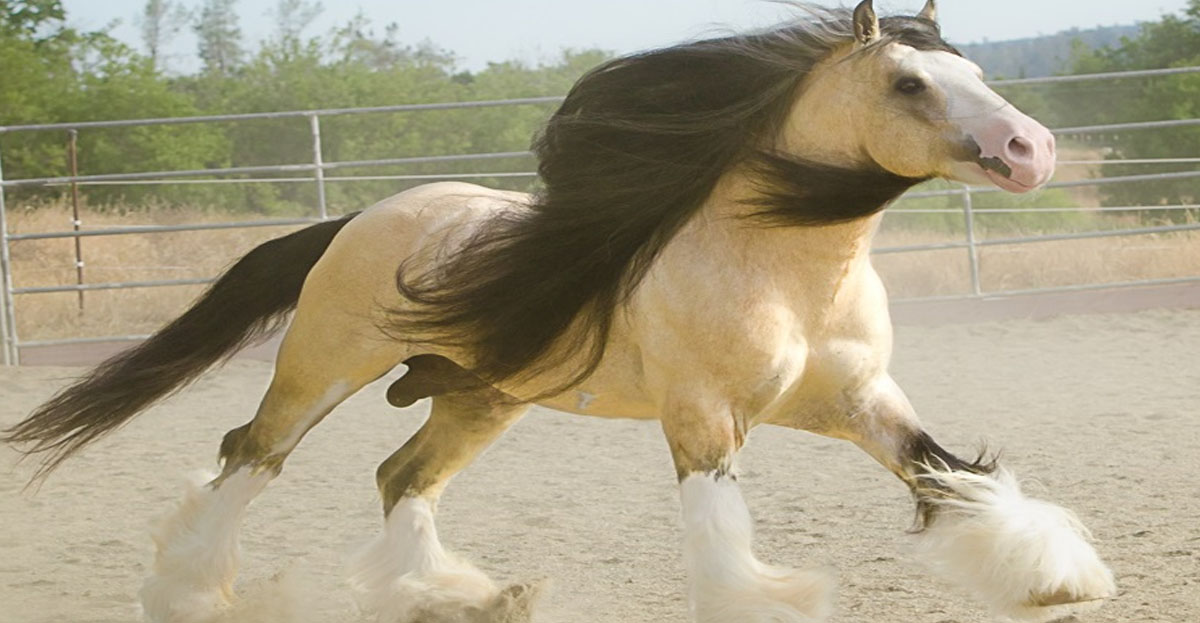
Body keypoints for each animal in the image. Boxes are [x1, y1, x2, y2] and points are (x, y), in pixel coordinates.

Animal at [7, 2, 1113, 619]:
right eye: (910, 80)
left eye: (977, 71)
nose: (1031, 151)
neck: (783, 272)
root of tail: (362, 215)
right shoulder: (703, 417)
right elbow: (719, 526)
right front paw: (771, 602)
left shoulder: (863, 402)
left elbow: (955, 478)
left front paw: (1056, 579)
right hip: (323, 366)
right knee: (252, 455)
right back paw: (188, 593)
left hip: (479, 397)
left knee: (400, 477)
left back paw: (460, 596)